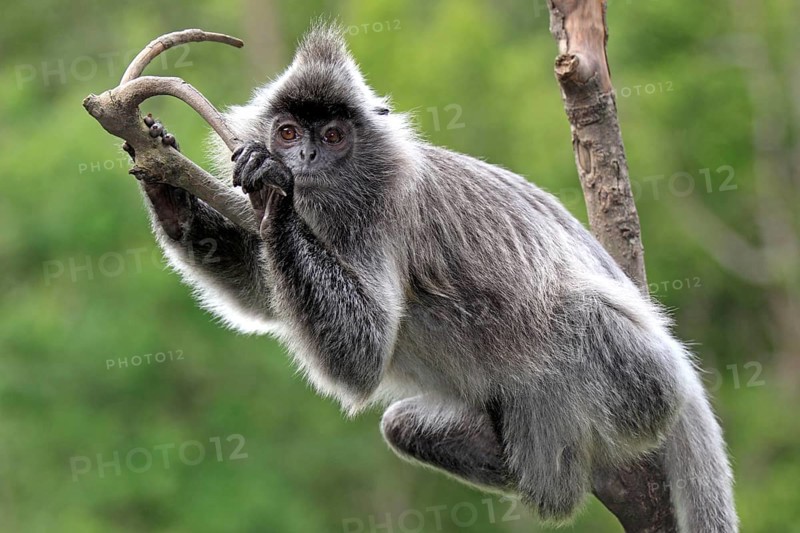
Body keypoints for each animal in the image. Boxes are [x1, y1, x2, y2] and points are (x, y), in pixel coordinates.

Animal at [132, 23, 738, 532]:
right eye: (287, 131)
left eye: (332, 137)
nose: (302, 158)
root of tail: (683, 377)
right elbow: (266, 295)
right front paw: (166, 187)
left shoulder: (383, 212)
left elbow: (363, 353)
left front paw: (274, 189)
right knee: (401, 424)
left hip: (643, 383)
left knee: (570, 318)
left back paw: (554, 483)